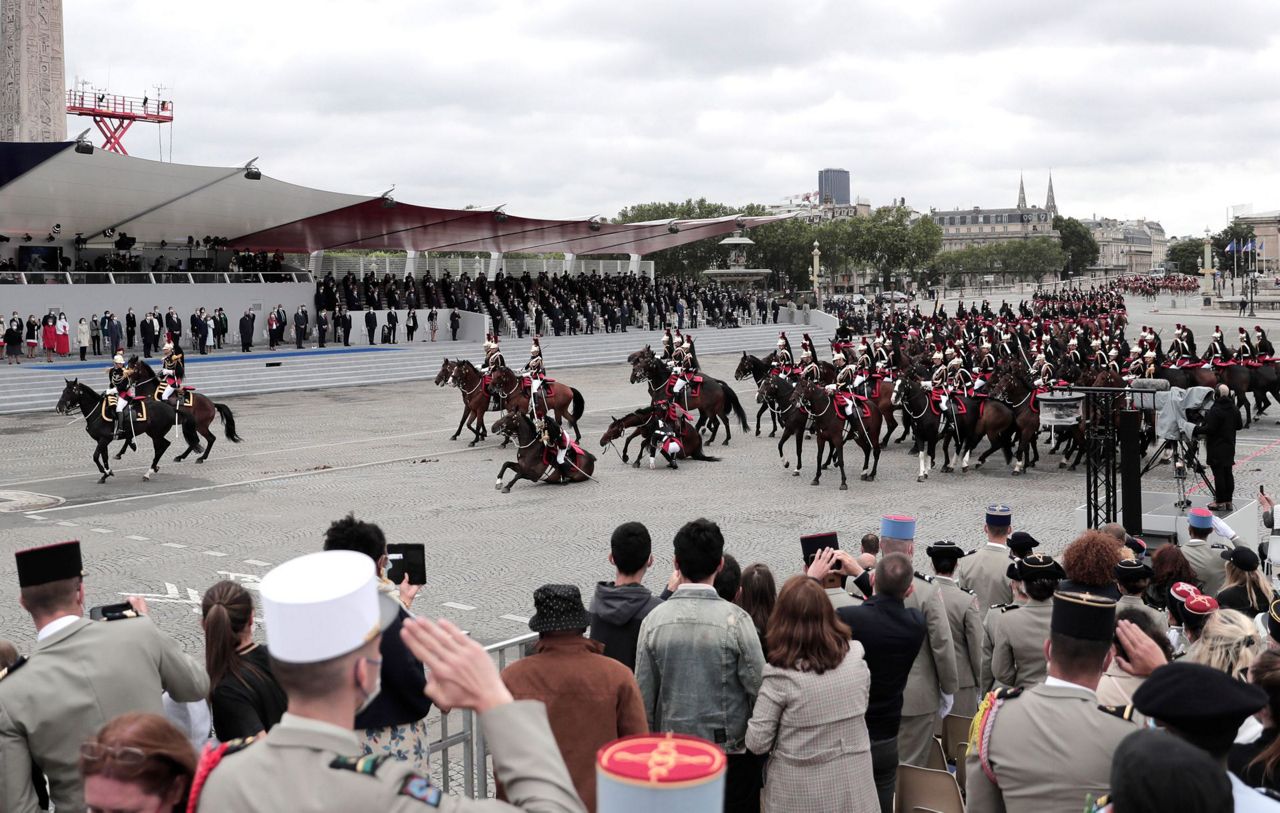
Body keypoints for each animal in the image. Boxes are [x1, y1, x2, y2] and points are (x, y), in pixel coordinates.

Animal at [54, 378, 197, 486]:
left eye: (70, 391)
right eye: (63, 391)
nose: (59, 408)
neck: (97, 412)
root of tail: (170, 408)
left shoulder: (104, 439)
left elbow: (95, 456)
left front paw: (105, 472)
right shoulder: (102, 440)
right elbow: (104, 458)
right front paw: (106, 473)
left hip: (156, 434)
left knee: (163, 446)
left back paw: (149, 472)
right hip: (154, 434)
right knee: (161, 447)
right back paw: (154, 468)